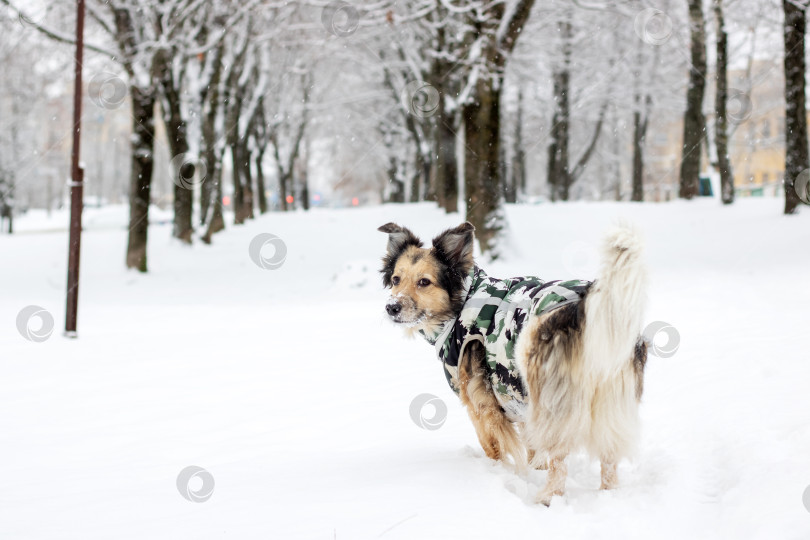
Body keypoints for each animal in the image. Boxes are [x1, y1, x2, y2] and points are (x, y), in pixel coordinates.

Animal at [378, 220, 652, 506]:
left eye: (424, 282)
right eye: (396, 279)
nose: (391, 307)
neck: (463, 301)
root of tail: (585, 309)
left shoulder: (481, 403)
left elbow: (493, 446)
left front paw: (499, 472)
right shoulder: (516, 396)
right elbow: (531, 447)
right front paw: (534, 469)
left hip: (551, 401)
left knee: (559, 463)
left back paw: (546, 498)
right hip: (608, 402)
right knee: (608, 460)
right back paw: (608, 496)